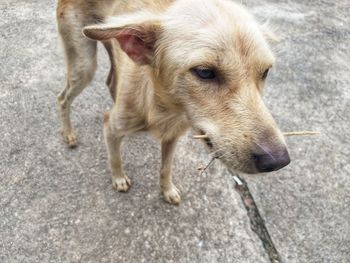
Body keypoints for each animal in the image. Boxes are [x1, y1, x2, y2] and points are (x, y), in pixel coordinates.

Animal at [56, 0, 290, 205]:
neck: (165, 108)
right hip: (84, 66)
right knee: (62, 98)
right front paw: (119, 178)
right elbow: (115, 158)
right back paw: (68, 134)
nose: (278, 161)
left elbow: (165, 168)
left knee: (110, 81)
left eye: (265, 72)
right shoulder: (111, 128)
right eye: (205, 72)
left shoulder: (172, 137)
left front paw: (167, 190)